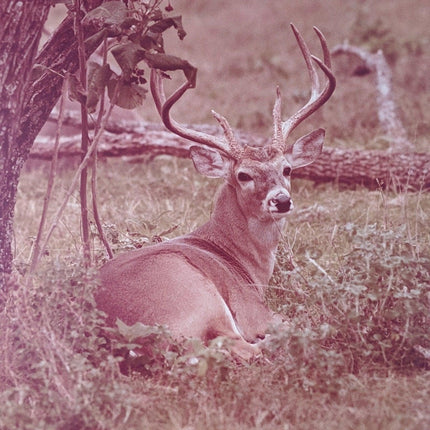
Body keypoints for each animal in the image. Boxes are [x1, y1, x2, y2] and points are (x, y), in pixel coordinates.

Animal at [97, 23, 336, 360]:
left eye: (287, 169)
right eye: (243, 175)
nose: (281, 200)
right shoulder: (251, 308)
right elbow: (304, 321)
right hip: (196, 294)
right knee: (241, 346)